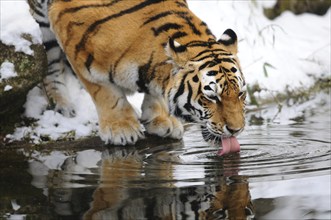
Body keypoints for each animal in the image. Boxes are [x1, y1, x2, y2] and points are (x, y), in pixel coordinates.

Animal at [27, 0, 246, 148]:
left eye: (241, 94)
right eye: (212, 97)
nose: (237, 130)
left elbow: (157, 93)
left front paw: (160, 120)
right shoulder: (79, 51)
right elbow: (105, 92)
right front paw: (121, 129)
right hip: (44, 27)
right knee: (50, 65)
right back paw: (62, 105)